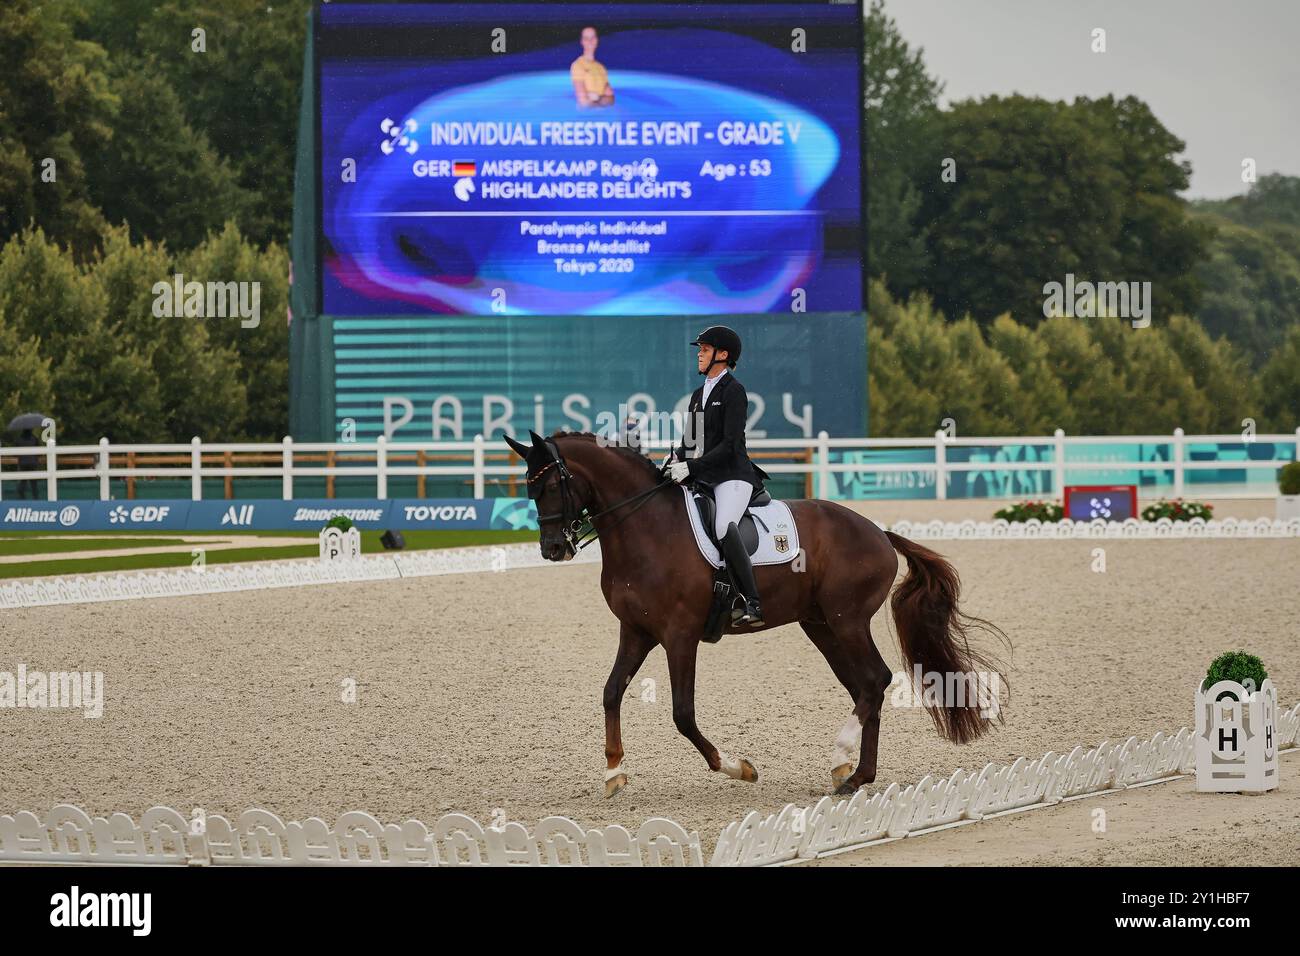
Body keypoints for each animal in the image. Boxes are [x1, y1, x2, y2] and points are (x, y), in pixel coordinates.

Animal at [501, 429, 1008, 796]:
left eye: (552, 484)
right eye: (529, 488)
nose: (553, 549)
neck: (644, 527)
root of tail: (878, 531)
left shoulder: (679, 635)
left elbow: (682, 714)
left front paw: (738, 768)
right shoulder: (636, 631)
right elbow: (610, 693)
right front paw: (613, 773)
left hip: (846, 620)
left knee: (876, 680)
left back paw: (841, 758)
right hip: (821, 625)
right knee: (866, 686)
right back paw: (854, 775)